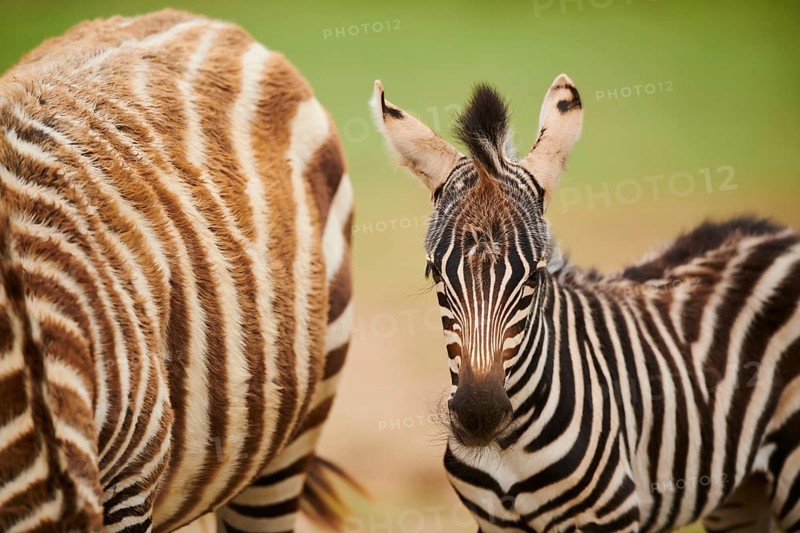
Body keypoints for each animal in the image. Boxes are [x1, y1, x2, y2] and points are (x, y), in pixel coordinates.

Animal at [371, 75, 800, 531]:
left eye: (535, 276)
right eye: (434, 273)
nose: (478, 415)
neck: (508, 449)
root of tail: (780, 235)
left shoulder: (611, 516)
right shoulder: (493, 523)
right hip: (742, 494)